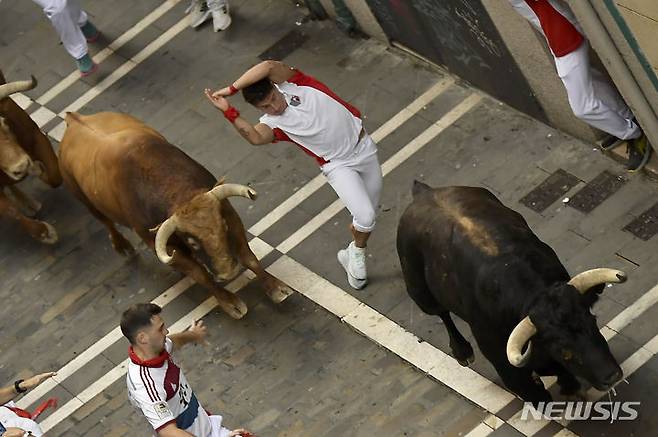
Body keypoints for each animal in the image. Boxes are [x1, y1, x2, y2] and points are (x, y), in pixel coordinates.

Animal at [1, 70, 60, 244]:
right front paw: (45, 233)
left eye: (3, 123)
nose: (21, 166)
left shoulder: (36, 136)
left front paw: (38, 169)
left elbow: (54, 175)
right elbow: (11, 213)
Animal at [60, 110, 294, 318]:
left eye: (223, 227)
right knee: (106, 222)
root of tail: (73, 119)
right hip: (84, 200)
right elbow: (201, 275)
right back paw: (123, 246)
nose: (228, 272)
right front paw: (230, 303)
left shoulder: (229, 214)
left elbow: (248, 257)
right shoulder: (162, 244)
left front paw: (275, 288)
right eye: (192, 242)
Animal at [398, 181, 624, 402]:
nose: (612, 376)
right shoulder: (510, 372)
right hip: (421, 294)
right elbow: (538, 396)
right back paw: (462, 351)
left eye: (592, 321)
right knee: (441, 313)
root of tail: (423, 192)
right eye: (563, 347)